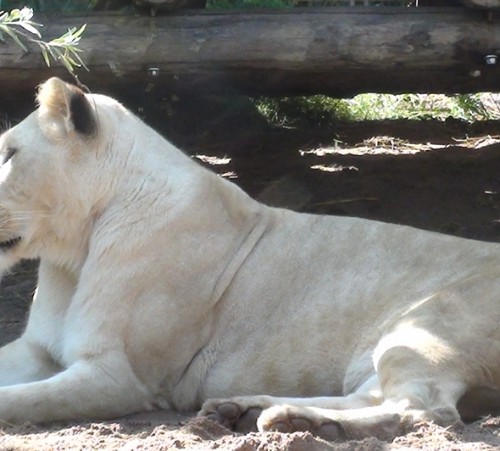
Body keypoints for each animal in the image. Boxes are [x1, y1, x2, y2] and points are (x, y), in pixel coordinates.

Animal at [0, 77, 496, 442]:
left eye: (8, 153)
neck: (73, 253)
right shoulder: (37, 349)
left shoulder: (120, 375)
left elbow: (24, 399)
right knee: (376, 398)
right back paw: (249, 410)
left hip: (423, 328)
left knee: (425, 411)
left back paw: (302, 424)